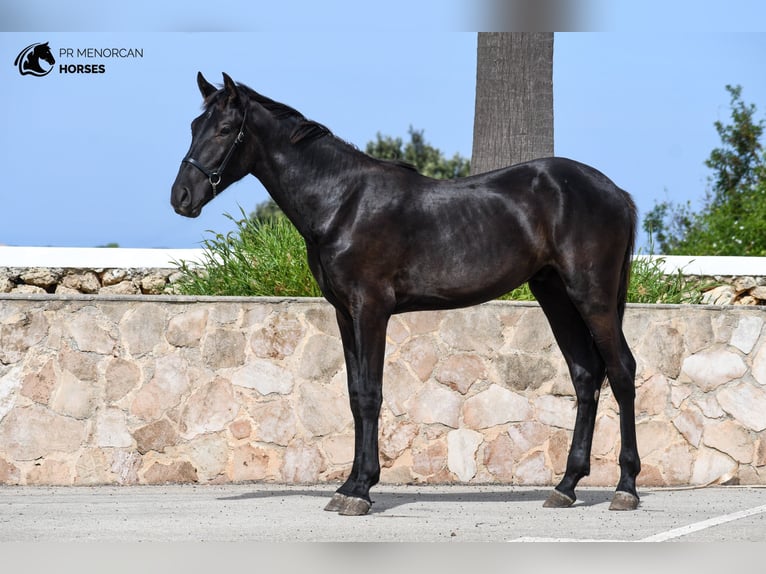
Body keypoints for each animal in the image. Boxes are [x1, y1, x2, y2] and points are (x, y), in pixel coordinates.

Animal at [172, 72, 640, 516]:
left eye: (225, 129)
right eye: (194, 125)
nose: (181, 197)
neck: (342, 202)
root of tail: (616, 193)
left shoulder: (371, 309)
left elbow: (371, 394)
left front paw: (360, 490)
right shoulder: (344, 313)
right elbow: (355, 393)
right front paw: (349, 485)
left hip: (591, 295)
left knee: (621, 371)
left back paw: (625, 488)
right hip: (554, 294)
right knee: (585, 375)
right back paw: (566, 486)